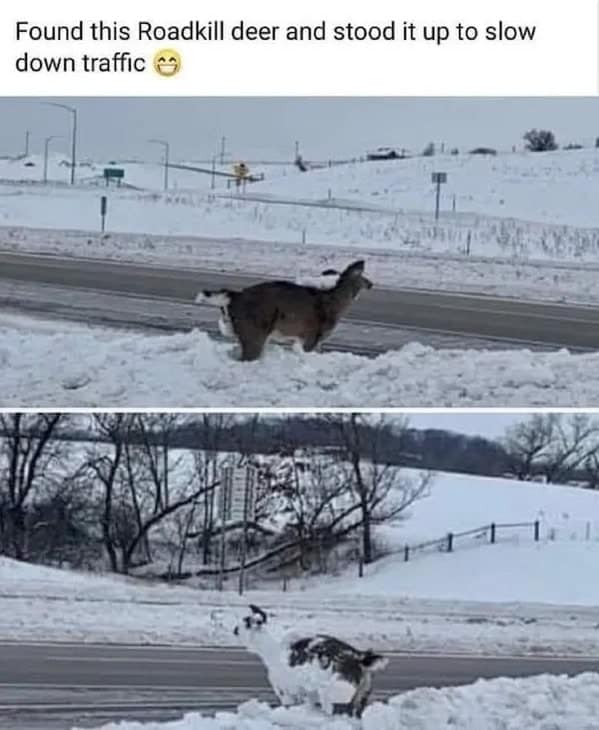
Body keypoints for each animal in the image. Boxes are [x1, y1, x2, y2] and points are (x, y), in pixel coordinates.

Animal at [193, 260, 373, 361]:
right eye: (363, 277)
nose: (371, 284)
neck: (336, 304)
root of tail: (234, 297)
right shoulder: (312, 336)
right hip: (253, 330)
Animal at [233, 604, 388, 717]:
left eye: (247, 623)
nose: (235, 630)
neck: (273, 645)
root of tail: (359, 657)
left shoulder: (285, 690)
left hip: (337, 693)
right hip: (360, 696)